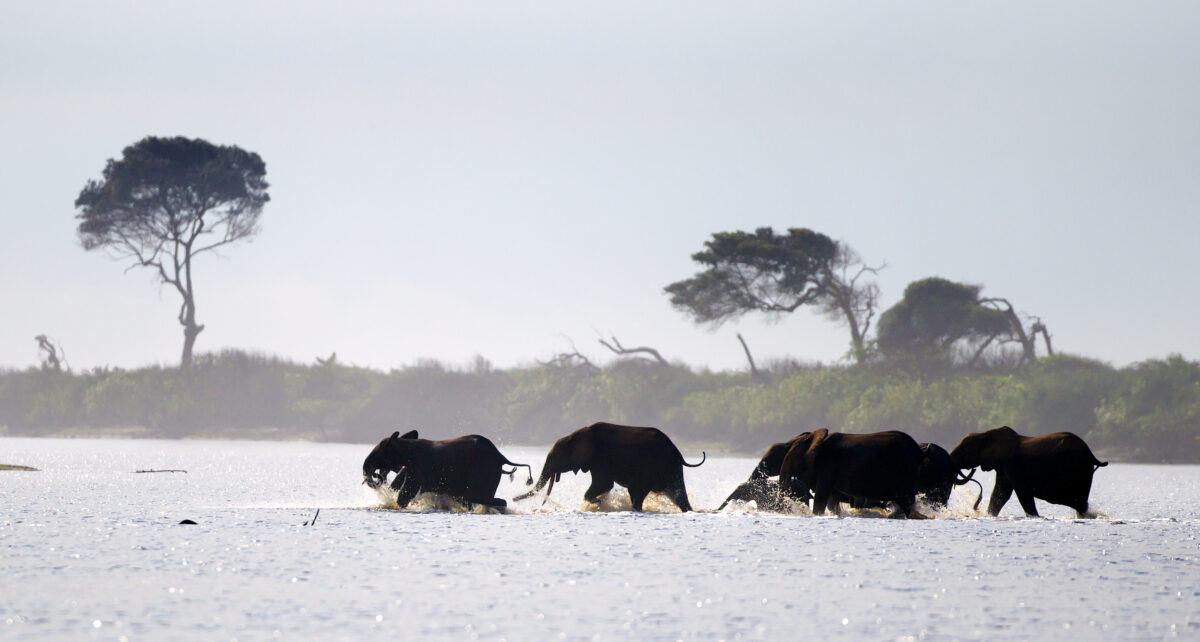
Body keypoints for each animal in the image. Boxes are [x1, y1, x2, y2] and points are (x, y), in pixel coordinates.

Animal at [362, 430, 532, 511]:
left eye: (380, 451)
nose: (373, 474)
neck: (405, 444)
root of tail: (502, 457)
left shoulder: (418, 468)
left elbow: (404, 495)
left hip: (485, 470)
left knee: (476, 497)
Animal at [513, 422, 706, 512]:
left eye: (558, 456)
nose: (513, 499)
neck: (583, 432)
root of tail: (678, 453)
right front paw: (599, 501)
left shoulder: (601, 457)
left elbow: (603, 483)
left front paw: (597, 502)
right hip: (670, 468)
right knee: (676, 494)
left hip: (654, 466)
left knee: (637, 491)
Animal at [778, 429, 925, 518]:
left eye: (791, 457)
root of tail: (919, 453)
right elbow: (832, 500)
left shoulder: (827, 466)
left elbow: (821, 499)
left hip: (903, 472)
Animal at [949, 426, 1107, 517]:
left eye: (964, 450)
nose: (975, 506)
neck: (985, 434)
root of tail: (1092, 455)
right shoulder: (1003, 467)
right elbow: (1001, 493)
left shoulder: (1012, 466)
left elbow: (1021, 492)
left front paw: (1035, 517)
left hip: (1075, 468)